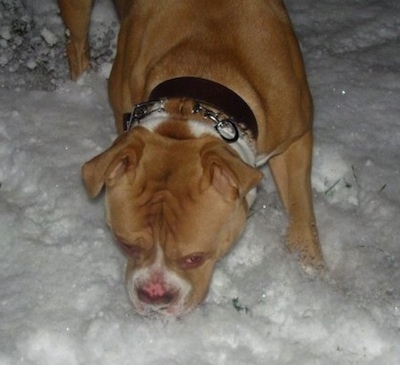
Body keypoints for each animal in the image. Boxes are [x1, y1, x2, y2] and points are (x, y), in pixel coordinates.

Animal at [59, 0, 324, 316]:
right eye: (126, 245)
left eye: (194, 257)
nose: (154, 295)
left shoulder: (296, 140)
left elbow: (301, 212)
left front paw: (310, 269)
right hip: (76, 12)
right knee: (75, 43)